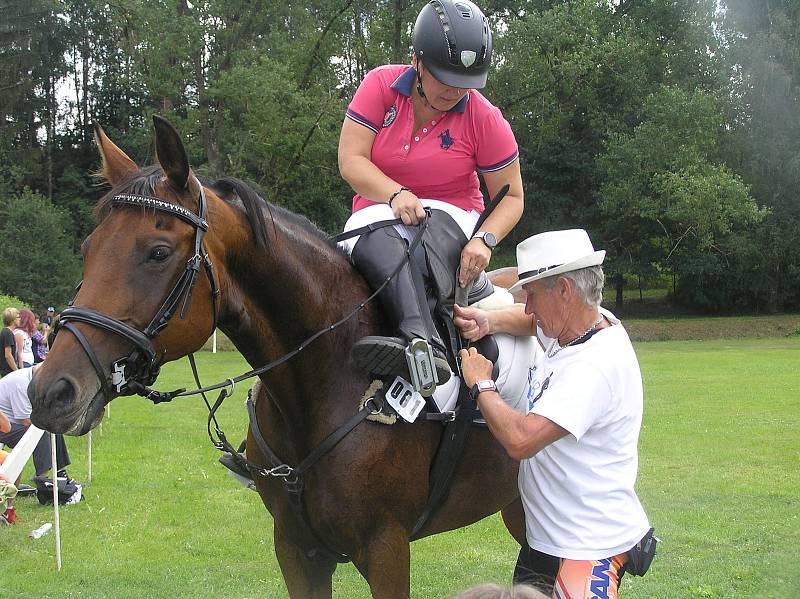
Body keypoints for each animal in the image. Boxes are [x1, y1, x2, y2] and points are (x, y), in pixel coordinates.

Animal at [28, 118, 524, 599]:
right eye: (88, 249)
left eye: (158, 252)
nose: (51, 392)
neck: (327, 377)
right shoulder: (296, 548)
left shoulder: (385, 548)